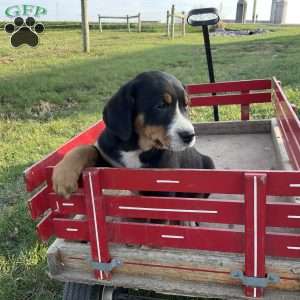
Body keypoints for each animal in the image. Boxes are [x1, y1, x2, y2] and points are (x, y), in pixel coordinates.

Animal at [52, 70, 214, 197]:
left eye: (186, 105)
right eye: (160, 106)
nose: (190, 135)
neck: (136, 147)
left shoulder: (163, 188)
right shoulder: (110, 164)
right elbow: (85, 149)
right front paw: (63, 176)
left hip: (209, 164)